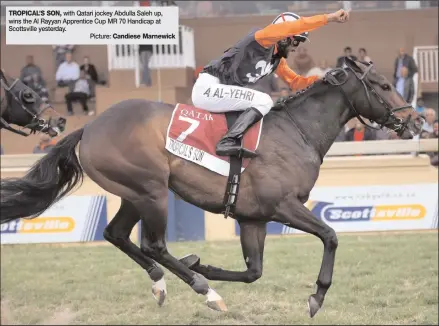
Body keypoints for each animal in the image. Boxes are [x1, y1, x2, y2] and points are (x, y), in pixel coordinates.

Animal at [0, 58, 426, 316]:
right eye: (383, 84)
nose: (418, 122)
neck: (296, 132)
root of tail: (89, 126)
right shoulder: (283, 206)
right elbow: (331, 236)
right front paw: (316, 296)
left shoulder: (254, 218)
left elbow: (253, 271)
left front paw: (201, 262)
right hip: (152, 190)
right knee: (153, 244)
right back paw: (205, 290)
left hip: (134, 193)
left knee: (117, 234)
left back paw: (163, 283)